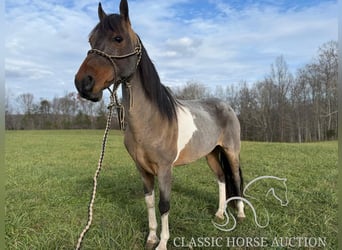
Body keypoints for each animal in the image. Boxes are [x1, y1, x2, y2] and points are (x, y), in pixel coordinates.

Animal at [75, 0, 246, 249]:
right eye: (91, 41)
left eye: (118, 38)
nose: (83, 83)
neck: (151, 121)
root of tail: (227, 106)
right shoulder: (143, 169)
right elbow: (149, 202)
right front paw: (151, 237)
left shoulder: (165, 169)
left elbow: (164, 205)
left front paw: (163, 243)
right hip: (212, 153)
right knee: (222, 179)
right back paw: (220, 214)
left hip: (231, 151)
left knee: (235, 178)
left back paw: (240, 214)